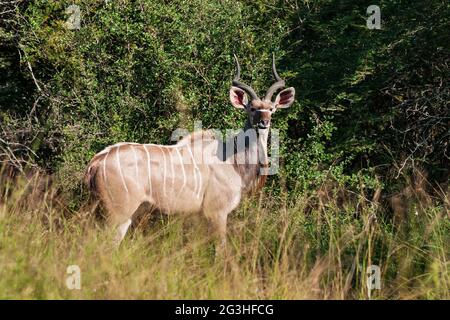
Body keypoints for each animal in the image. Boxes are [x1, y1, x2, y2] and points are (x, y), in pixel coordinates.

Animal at [84, 54, 296, 245]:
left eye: (272, 109)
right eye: (252, 108)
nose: (263, 122)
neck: (234, 161)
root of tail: (95, 163)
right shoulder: (217, 212)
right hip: (117, 213)